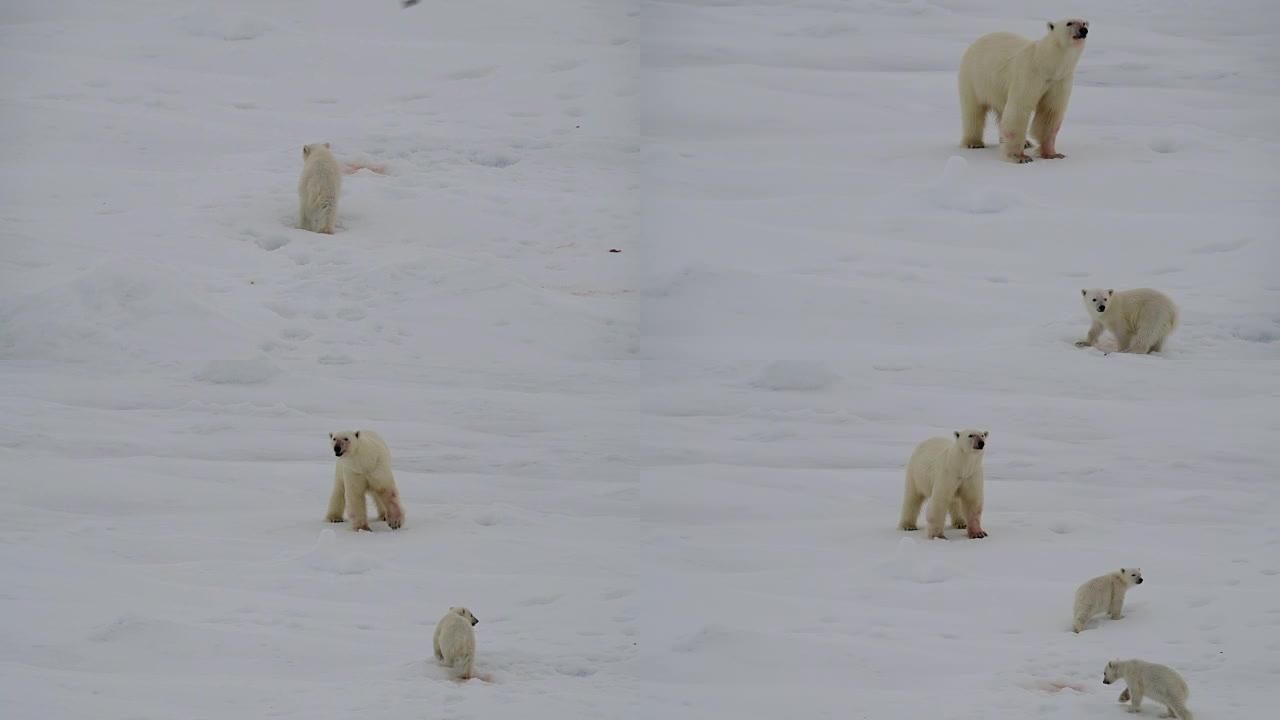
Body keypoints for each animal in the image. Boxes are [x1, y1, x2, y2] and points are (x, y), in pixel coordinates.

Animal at [962, 17, 1090, 163]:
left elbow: (1050, 112)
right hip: (974, 78)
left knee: (1001, 111)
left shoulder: (1059, 80)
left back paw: (1026, 142)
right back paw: (973, 143)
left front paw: (1052, 154)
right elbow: (1019, 108)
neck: (1046, 64)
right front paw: (1019, 157)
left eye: (1084, 23)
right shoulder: (1029, 74)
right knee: (973, 111)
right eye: (1069, 23)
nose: (1083, 30)